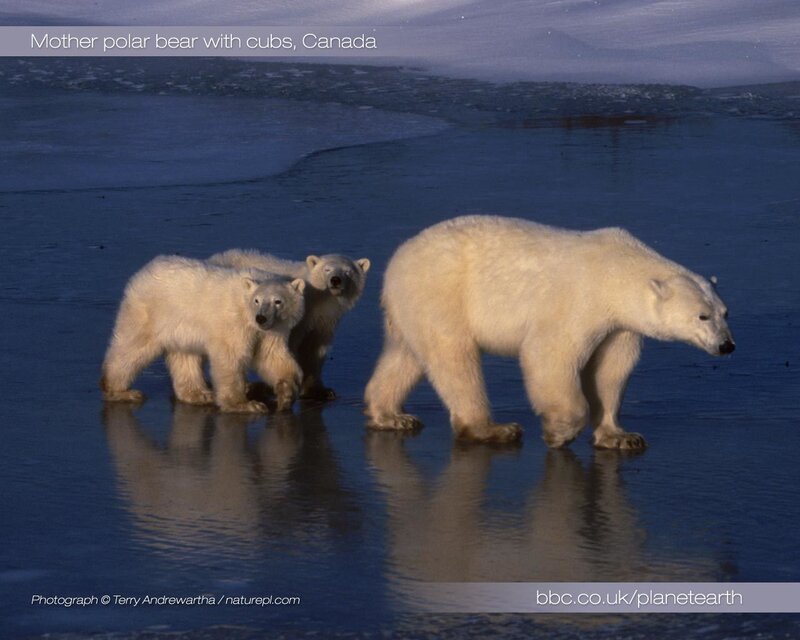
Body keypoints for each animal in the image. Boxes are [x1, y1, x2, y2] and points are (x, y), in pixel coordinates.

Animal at [100, 256, 306, 413]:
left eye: (278, 301)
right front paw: (246, 404)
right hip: (149, 314)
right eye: (257, 300)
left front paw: (286, 394)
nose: (261, 318)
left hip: (180, 327)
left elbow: (271, 356)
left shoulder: (273, 330)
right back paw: (121, 391)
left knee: (185, 357)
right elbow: (230, 358)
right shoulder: (234, 322)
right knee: (132, 348)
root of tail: (142, 272)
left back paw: (200, 394)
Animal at [200, 250, 371, 400]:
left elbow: (316, 349)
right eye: (327, 269)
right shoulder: (296, 319)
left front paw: (321, 391)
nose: (335, 279)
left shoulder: (324, 321)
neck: (316, 298)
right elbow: (291, 346)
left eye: (348, 272)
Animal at [364, 215, 735, 449]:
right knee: (454, 358)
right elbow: (550, 355)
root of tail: (397, 260)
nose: (726, 345)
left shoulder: (620, 325)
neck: (617, 271)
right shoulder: (579, 301)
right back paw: (493, 429)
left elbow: (611, 371)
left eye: (724, 312)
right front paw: (560, 432)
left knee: (405, 355)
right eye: (702, 316)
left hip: (411, 308)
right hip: (441, 294)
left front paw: (620, 436)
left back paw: (390, 415)